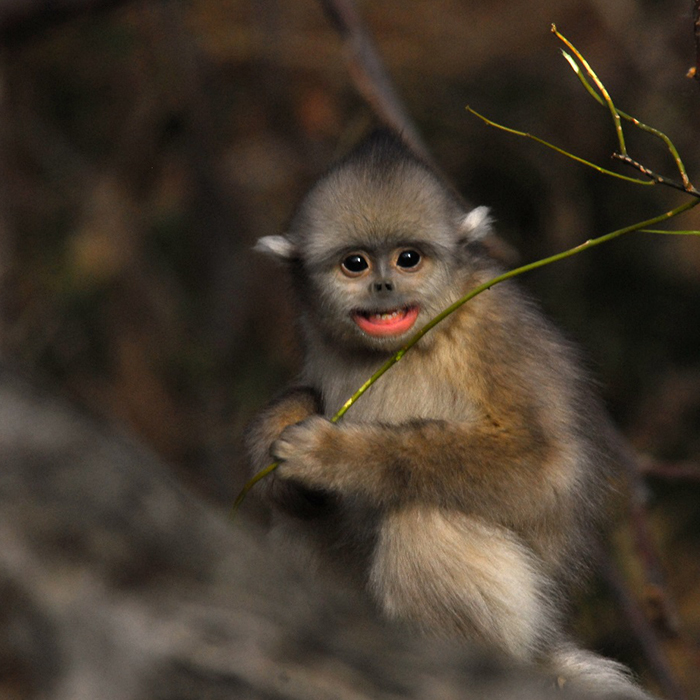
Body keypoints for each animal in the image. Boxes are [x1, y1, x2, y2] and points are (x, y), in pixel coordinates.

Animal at [249, 131, 652, 700]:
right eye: (355, 264)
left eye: (408, 259)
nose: (384, 287)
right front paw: (274, 435)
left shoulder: (494, 330)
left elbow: (543, 462)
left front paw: (333, 455)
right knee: (303, 522)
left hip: (520, 625)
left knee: (424, 520)